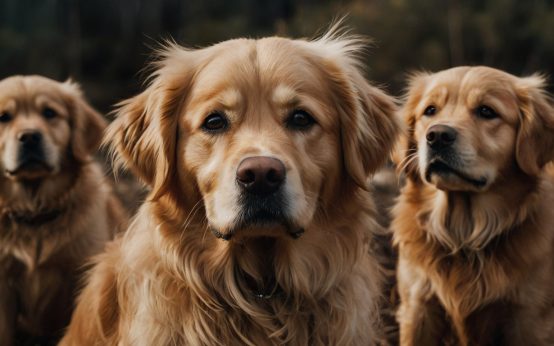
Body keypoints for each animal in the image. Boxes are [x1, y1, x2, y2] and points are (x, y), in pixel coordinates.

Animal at [0, 75, 126, 344]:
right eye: (4, 117)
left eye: (49, 113)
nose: (30, 137)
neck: (36, 216)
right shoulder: (3, 285)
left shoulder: (79, 275)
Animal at [390, 66, 552, 344]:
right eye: (430, 110)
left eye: (487, 111)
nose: (437, 136)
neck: (464, 234)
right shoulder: (418, 307)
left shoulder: (530, 319)